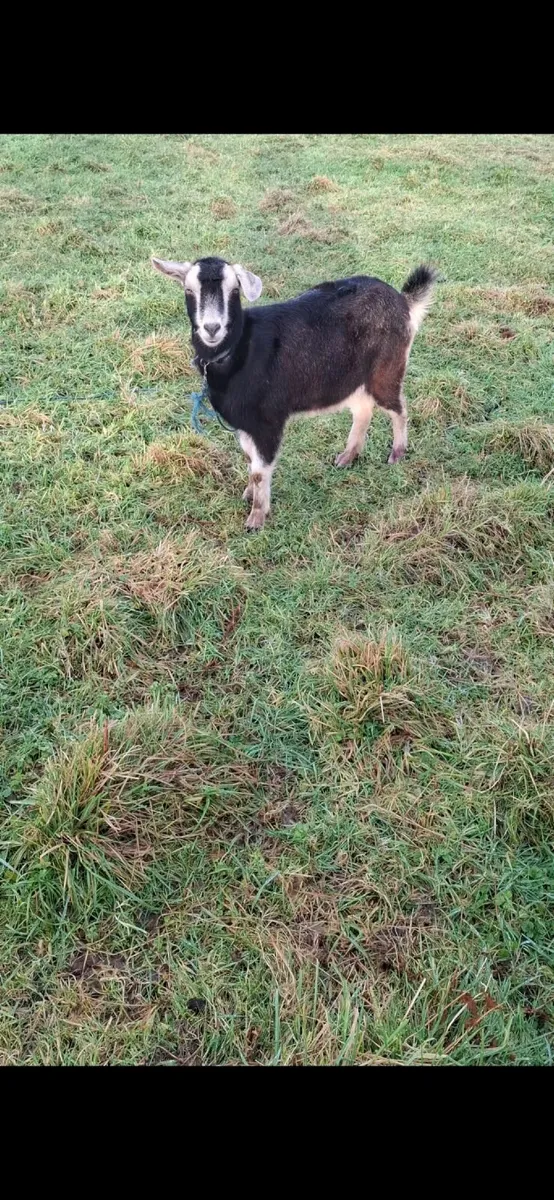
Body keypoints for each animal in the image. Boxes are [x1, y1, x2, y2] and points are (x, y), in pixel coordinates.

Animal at [151, 255, 438, 531]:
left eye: (234, 290)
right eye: (189, 290)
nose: (212, 328)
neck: (240, 351)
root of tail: (403, 301)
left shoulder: (268, 421)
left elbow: (260, 470)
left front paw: (256, 518)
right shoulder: (244, 424)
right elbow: (249, 460)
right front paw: (249, 494)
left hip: (387, 368)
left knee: (398, 407)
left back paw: (397, 453)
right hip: (349, 378)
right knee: (363, 410)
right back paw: (347, 456)